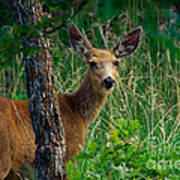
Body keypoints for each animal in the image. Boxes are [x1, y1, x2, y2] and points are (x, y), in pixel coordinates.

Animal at [0, 24, 141, 180]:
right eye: (92, 63)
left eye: (116, 62)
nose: (108, 80)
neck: (79, 114)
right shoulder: (71, 153)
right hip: (4, 156)